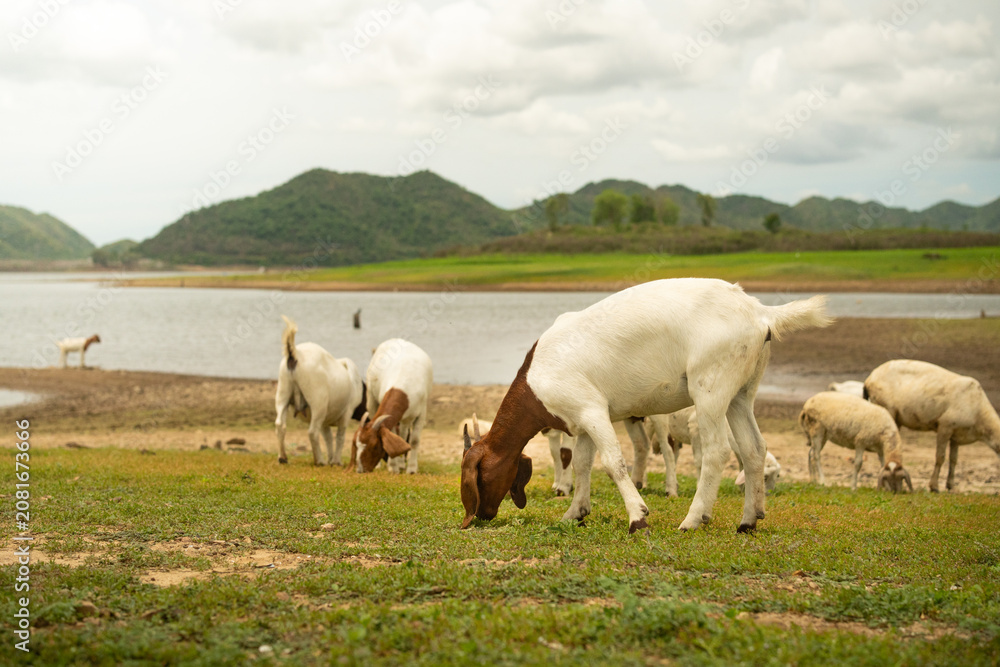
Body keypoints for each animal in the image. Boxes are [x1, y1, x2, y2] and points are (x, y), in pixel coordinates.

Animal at [275, 316, 366, 466]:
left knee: (280, 424)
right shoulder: (346, 413)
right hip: (318, 402)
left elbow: (328, 437)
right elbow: (340, 437)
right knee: (312, 432)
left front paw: (331, 459)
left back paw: (283, 457)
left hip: (283, 392)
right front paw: (336, 461)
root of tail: (295, 354)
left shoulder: (325, 421)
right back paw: (319, 460)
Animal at [353, 338, 433, 475]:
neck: (403, 386)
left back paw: (401, 465)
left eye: (374, 446)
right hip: (371, 397)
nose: (361, 469)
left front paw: (411, 469)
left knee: (403, 434)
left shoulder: (421, 412)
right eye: (357, 444)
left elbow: (414, 440)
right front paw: (393, 468)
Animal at [459, 278, 831, 534]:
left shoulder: (591, 410)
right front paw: (574, 513)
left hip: (710, 387)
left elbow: (613, 463)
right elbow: (581, 464)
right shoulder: (582, 419)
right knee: (754, 449)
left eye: (477, 477)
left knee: (716, 451)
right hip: (741, 392)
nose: (481, 515)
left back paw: (693, 519)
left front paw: (638, 517)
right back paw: (748, 521)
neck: (537, 378)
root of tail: (759, 312)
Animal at [865, 359, 1000, 492]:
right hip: (886, 408)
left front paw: (951, 486)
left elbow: (953, 460)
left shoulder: (956, 435)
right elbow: (940, 457)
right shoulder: (945, 426)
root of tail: (869, 379)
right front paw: (934, 486)